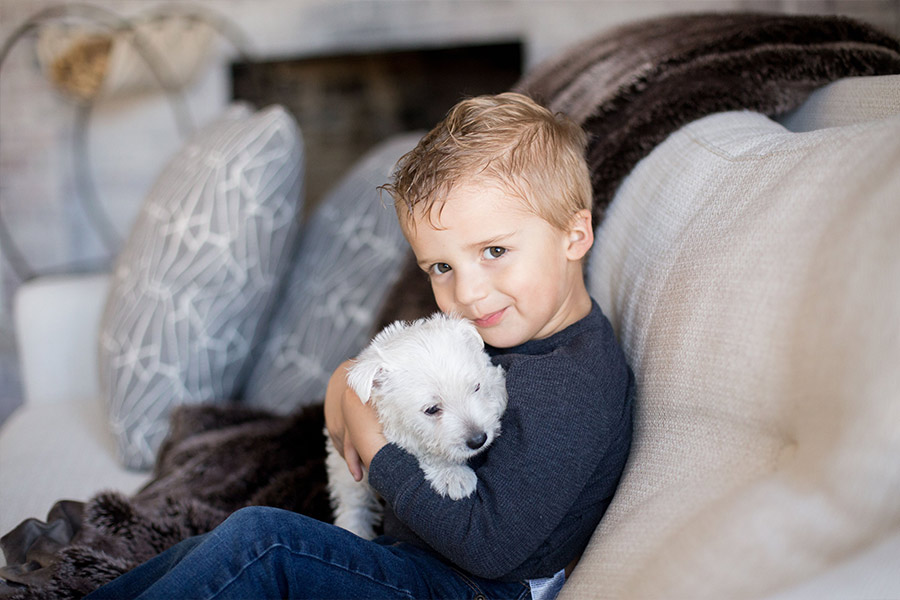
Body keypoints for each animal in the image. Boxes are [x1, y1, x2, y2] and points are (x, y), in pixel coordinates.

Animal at [324, 314, 506, 540]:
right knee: (354, 505)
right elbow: (422, 449)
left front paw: (499, 392)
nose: (479, 440)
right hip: (346, 473)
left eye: (476, 387)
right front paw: (453, 475)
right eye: (432, 409)